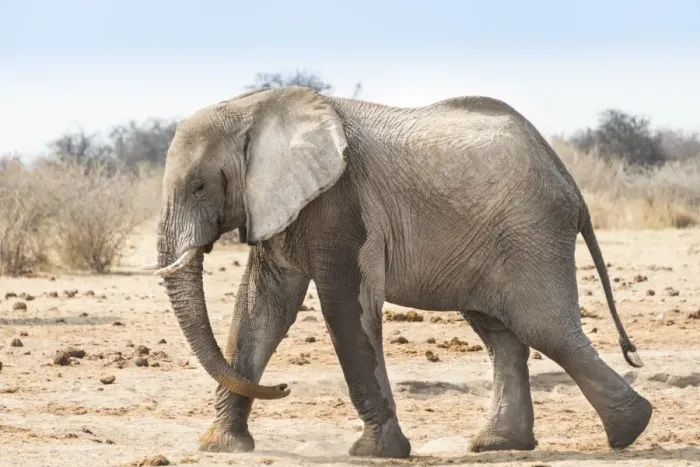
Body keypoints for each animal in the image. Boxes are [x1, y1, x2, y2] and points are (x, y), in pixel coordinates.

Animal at [143, 85, 652, 458]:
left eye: (199, 186)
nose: (283, 387)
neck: (253, 106)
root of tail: (570, 182)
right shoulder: (277, 204)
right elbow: (259, 309)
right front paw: (222, 446)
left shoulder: (341, 201)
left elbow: (343, 309)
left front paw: (375, 452)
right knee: (502, 336)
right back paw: (499, 445)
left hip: (532, 233)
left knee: (545, 329)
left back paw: (630, 430)